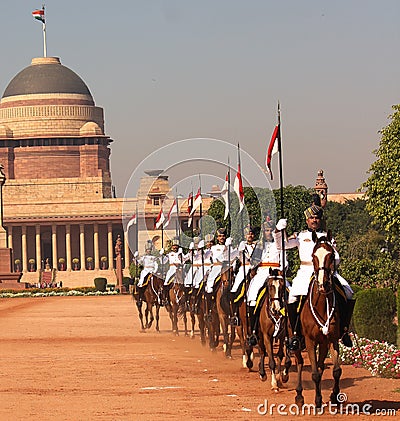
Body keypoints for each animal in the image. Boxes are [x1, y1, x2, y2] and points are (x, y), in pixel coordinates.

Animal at [296, 231, 342, 408]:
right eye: (313, 256)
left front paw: (334, 396)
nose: (323, 284)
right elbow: (315, 373)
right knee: (300, 362)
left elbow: (336, 371)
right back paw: (299, 395)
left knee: (321, 365)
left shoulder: (332, 338)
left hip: (323, 342)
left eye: (331, 255)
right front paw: (317, 400)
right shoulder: (309, 340)